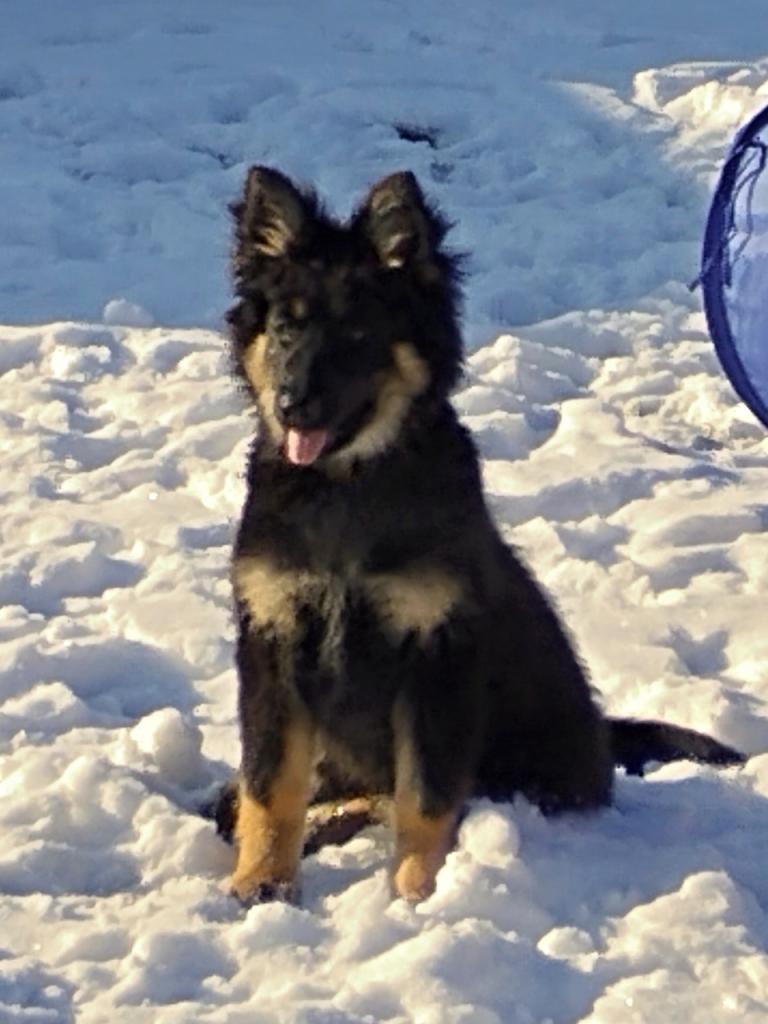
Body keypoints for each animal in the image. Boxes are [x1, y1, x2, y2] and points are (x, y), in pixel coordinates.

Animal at [221, 166, 744, 904]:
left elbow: (426, 793)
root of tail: (600, 735)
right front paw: (261, 881)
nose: (293, 406)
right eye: (286, 329)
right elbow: (271, 782)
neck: (349, 482)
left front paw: (415, 894)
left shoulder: (438, 653)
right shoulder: (273, 642)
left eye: (357, 334)